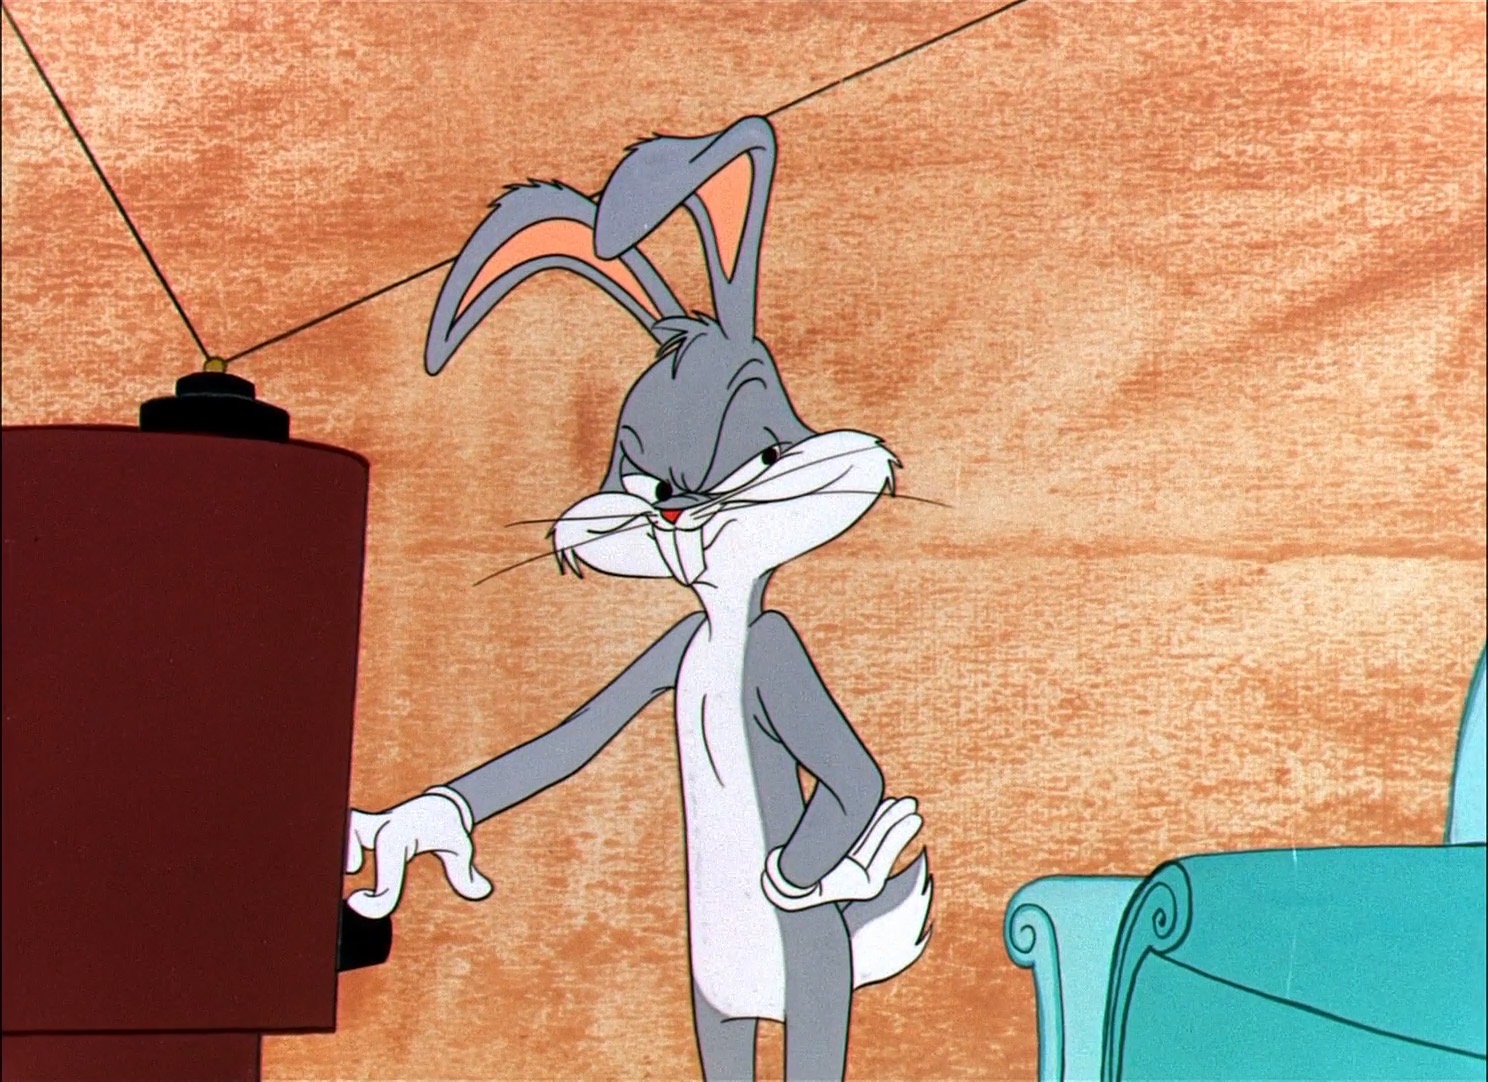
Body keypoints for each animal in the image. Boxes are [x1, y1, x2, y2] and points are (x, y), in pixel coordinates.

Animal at [346, 115, 932, 1082]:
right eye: (640, 472)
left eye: (765, 450)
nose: (675, 507)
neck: (722, 628)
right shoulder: (670, 651)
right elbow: (567, 741)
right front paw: (419, 827)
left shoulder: (776, 651)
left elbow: (853, 776)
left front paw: (828, 870)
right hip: (715, 1009)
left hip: (812, 983)